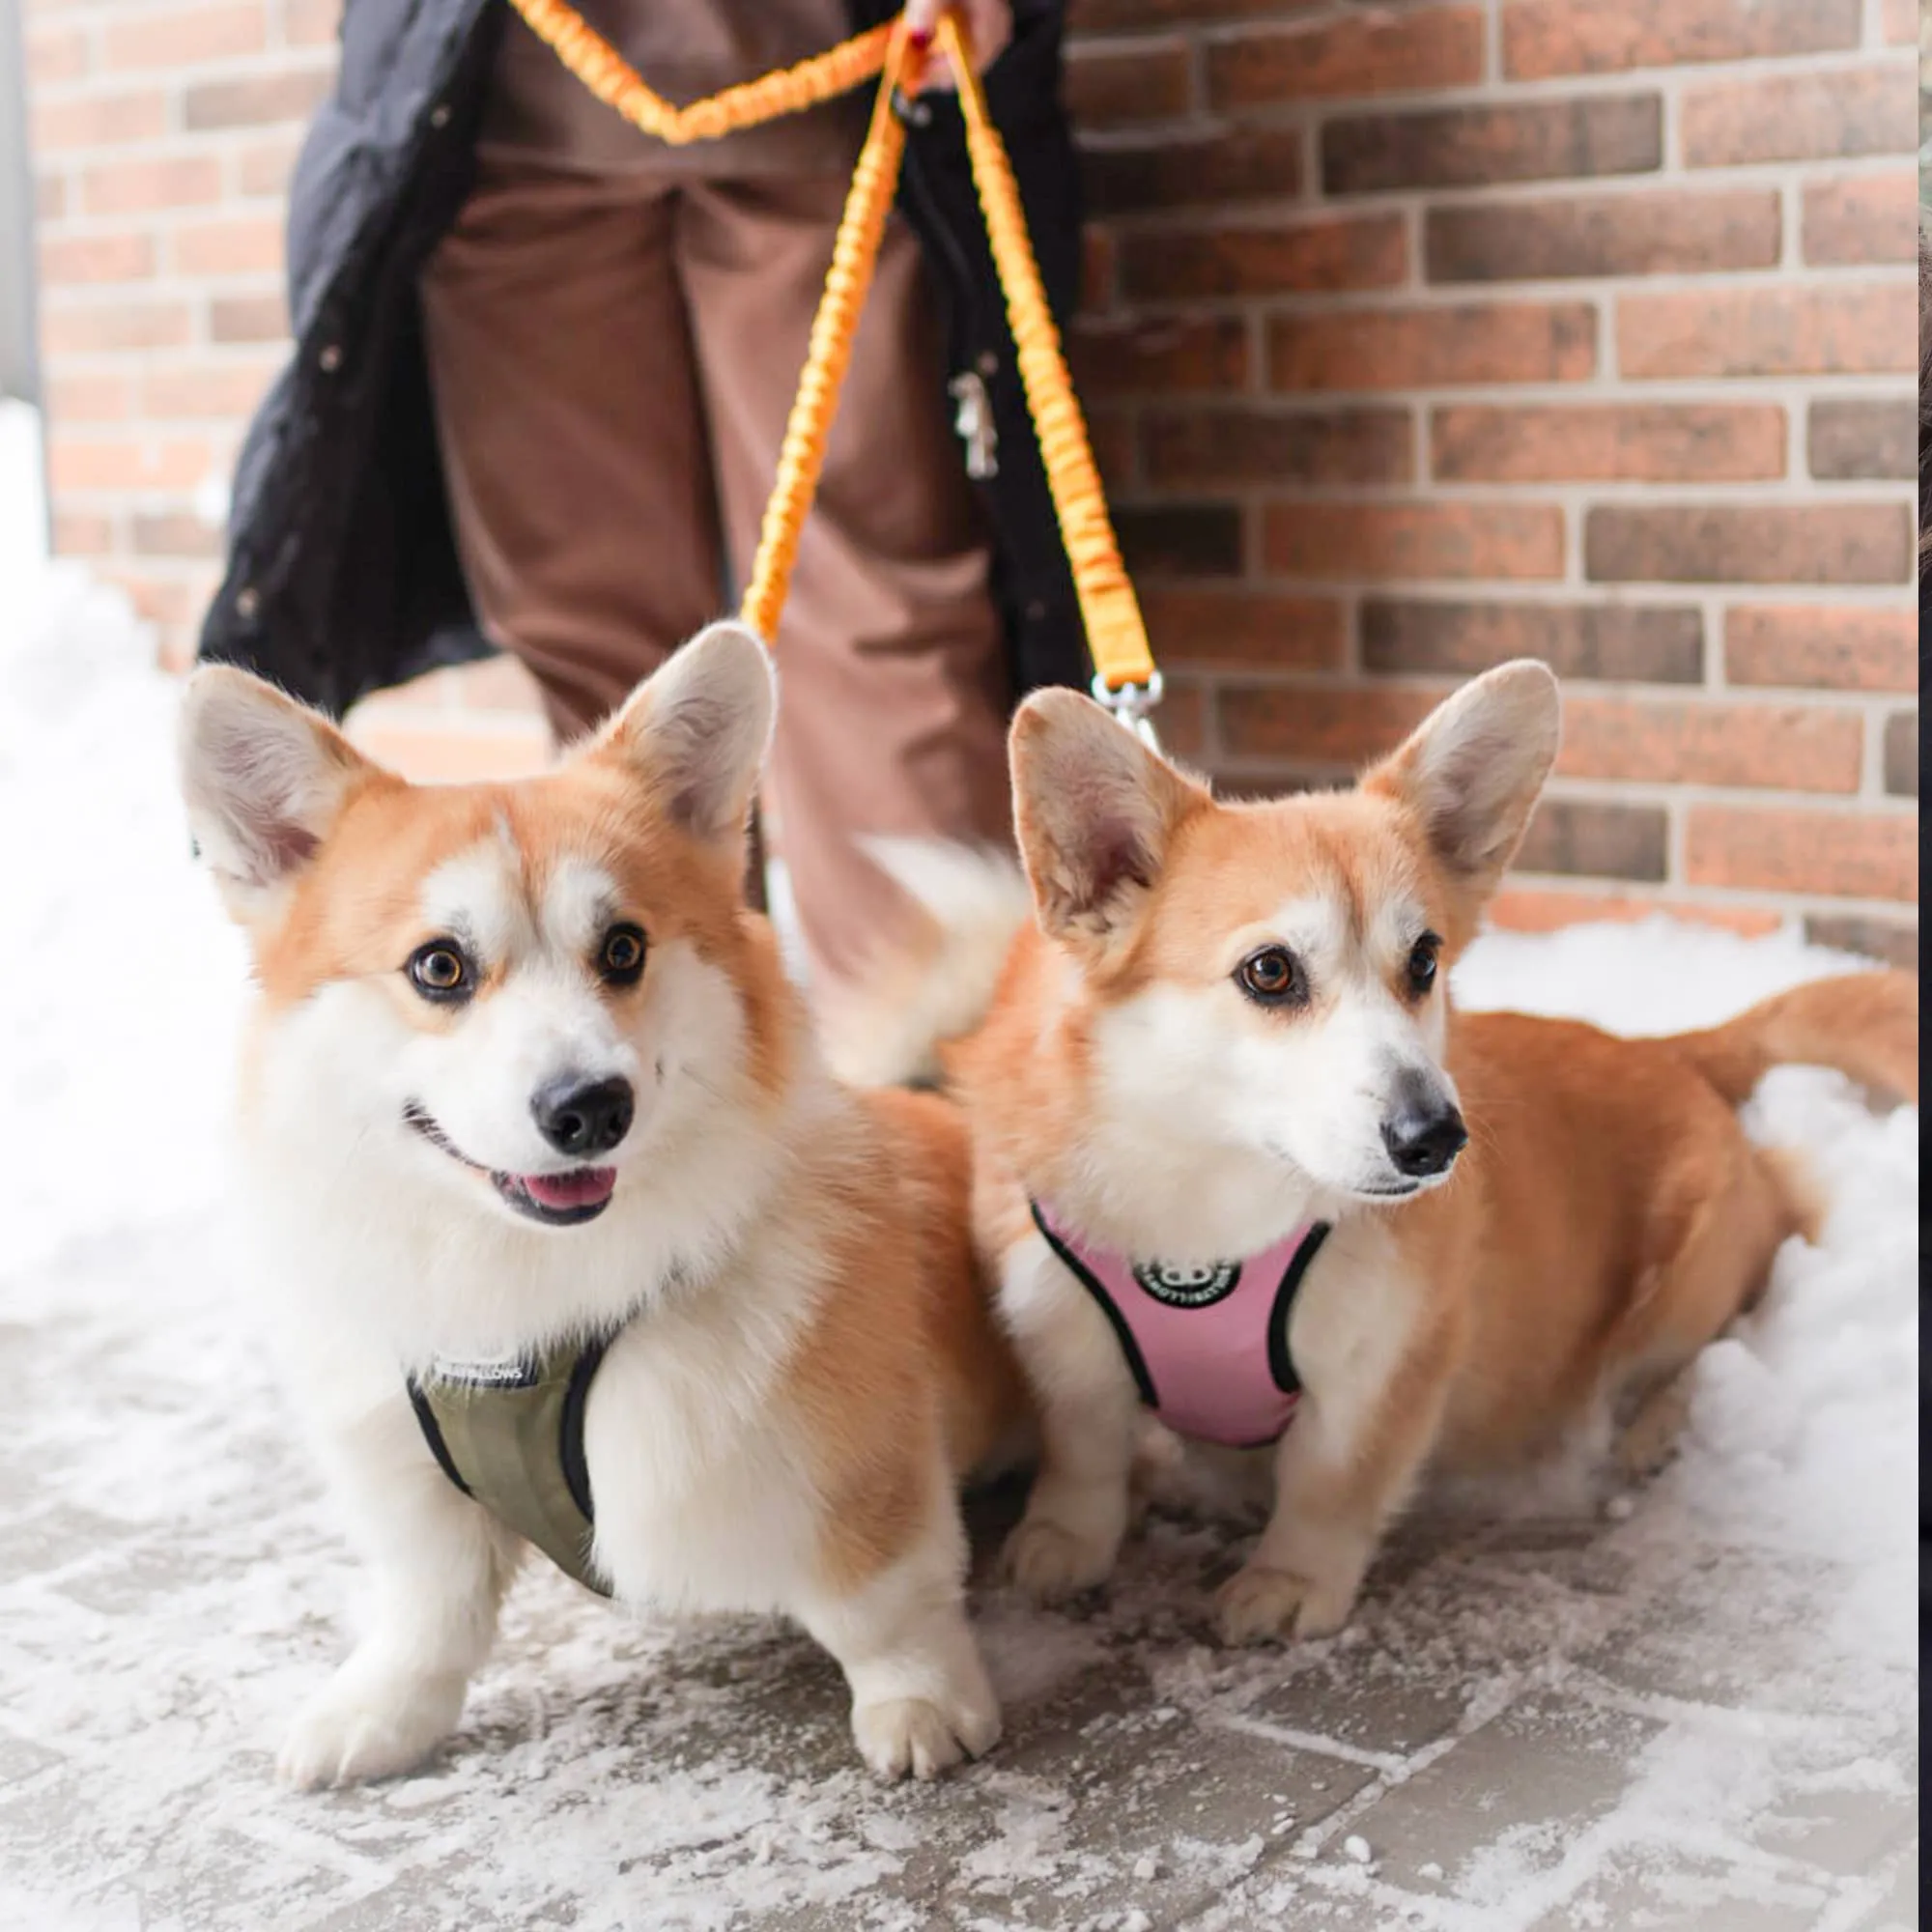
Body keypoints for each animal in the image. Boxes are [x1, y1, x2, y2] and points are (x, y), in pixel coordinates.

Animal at [178, 618, 1028, 1777]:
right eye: (438, 967)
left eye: (622, 947)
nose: (588, 1108)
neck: (523, 1296)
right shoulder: (410, 1478)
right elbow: (428, 1609)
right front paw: (381, 1712)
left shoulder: (852, 1456)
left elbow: (879, 1599)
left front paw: (922, 1707)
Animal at [858, 661, 1917, 1646]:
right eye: (1269, 971)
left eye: (1424, 960)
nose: (1434, 1138)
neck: (1209, 1199)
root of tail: (1671, 1045)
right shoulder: (1061, 1331)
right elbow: (1083, 1453)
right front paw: (1062, 1543)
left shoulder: (1383, 1363)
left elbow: (1330, 1484)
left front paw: (1287, 1580)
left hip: (1679, 1285)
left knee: (1705, 1345)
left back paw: (1653, 1429)